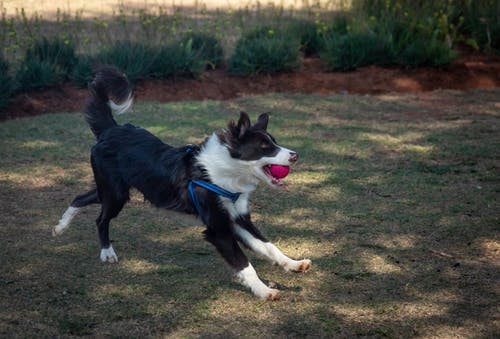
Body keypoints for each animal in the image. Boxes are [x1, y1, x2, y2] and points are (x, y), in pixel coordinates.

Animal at [54, 66, 312, 300]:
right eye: (265, 148)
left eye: (274, 142)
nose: (295, 155)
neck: (225, 171)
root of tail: (111, 129)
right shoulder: (218, 228)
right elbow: (244, 264)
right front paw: (264, 290)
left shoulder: (238, 219)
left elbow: (268, 246)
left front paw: (293, 264)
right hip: (116, 193)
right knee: (101, 219)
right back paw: (106, 252)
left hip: (111, 189)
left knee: (81, 197)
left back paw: (60, 227)